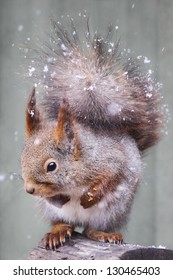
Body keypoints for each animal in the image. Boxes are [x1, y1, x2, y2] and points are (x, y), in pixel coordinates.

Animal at [21, 17, 163, 249]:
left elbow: (111, 177)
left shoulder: (111, 160)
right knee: (63, 223)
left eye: (51, 166)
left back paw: (104, 234)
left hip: (112, 212)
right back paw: (58, 231)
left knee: (90, 230)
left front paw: (88, 197)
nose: (29, 190)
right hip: (54, 214)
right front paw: (59, 199)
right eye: (22, 158)